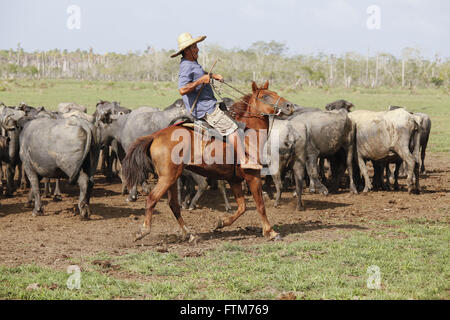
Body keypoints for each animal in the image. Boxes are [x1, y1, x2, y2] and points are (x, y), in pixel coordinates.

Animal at [121, 80, 294, 242]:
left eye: (274, 93)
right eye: (265, 96)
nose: (289, 105)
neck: (249, 134)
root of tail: (155, 136)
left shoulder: (234, 180)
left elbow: (242, 207)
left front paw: (221, 223)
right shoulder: (253, 176)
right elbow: (260, 205)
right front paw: (271, 232)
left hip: (172, 178)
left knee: (174, 205)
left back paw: (189, 234)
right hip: (167, 177)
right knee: (152, 199)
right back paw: (143, 231)